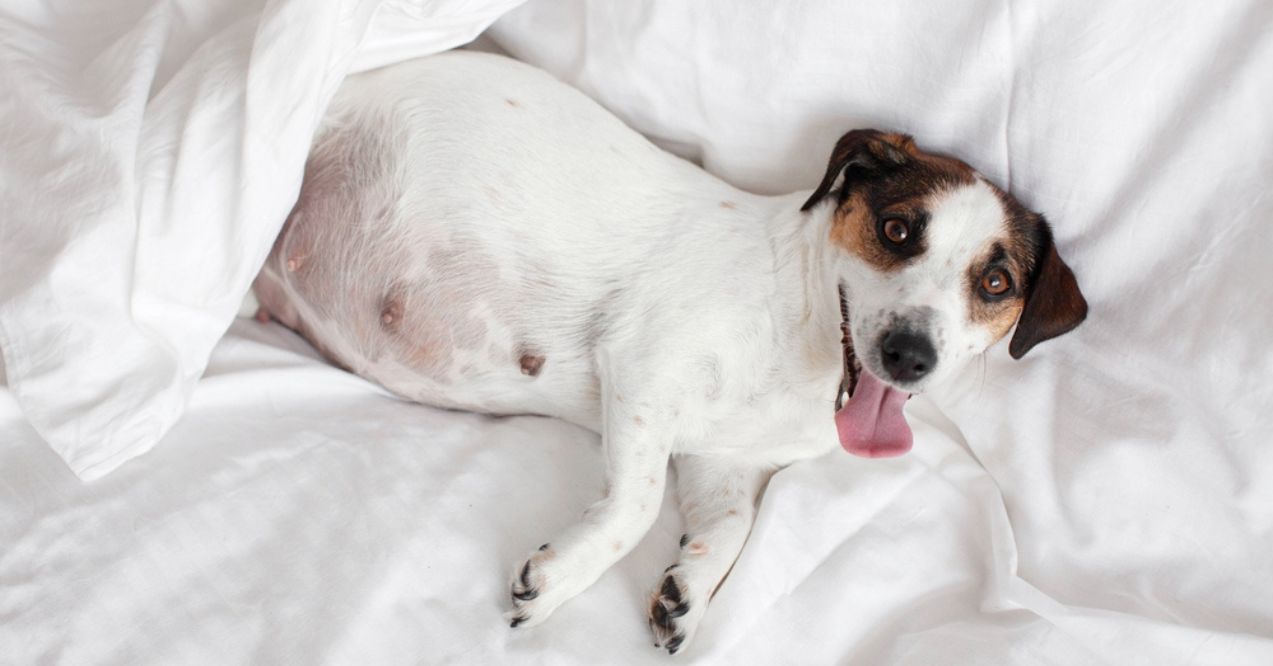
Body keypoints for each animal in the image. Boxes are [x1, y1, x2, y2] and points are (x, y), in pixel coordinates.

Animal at [253, 52, 1089, 657]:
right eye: (896, 230)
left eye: (994, 282)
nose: (909, 355)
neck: (799, 329)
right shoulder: (639, 373)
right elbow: (635, 504)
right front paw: (561, 578)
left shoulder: (721, 464)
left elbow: (732, 526)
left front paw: (689, 587)